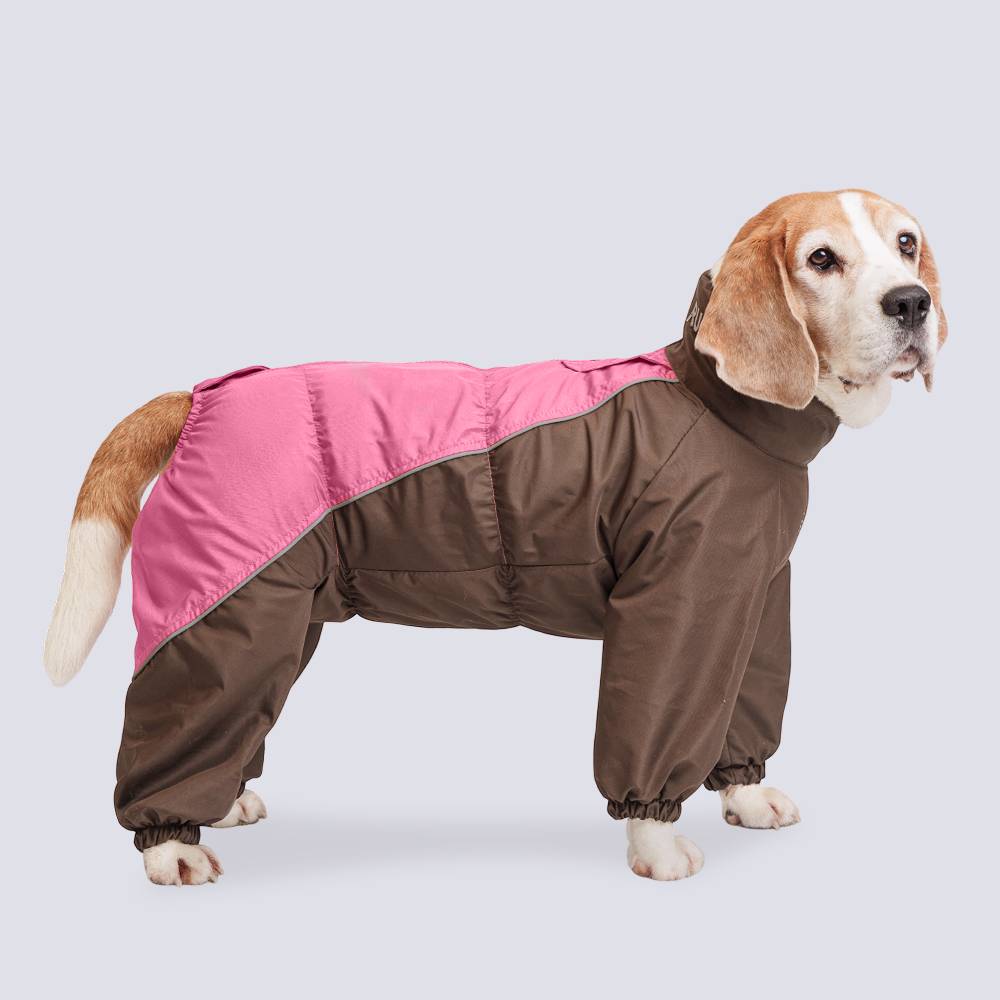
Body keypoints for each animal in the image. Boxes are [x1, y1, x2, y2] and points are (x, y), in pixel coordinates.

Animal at [45, 190, 945, 885]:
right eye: (822, 259)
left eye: (905, 243)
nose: (912, 303)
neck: (717, 400)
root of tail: (201, 396)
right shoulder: (677, 611)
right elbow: (654, 734)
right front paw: (656, 844)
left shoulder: (751, 598)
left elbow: (745, 710)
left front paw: (747, 794)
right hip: (226, 614)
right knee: (171, 721)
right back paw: (168, 845)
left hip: (275, 613)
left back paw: (221, 800)